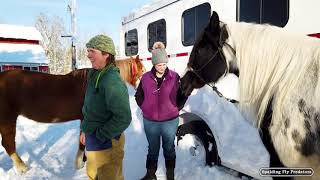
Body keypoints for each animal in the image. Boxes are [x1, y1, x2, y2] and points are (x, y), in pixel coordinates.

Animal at [0, 56, 144, 173]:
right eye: (142, 70)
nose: (139, 93)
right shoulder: (85, 118)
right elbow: (82, 142)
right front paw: (80, 163)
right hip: (7, 119)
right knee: (8, 144)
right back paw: (22, 167)